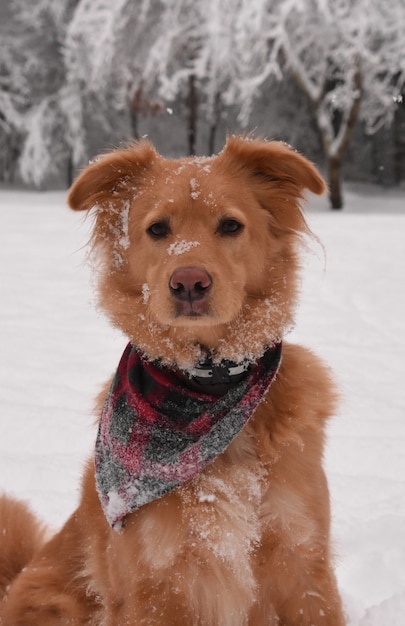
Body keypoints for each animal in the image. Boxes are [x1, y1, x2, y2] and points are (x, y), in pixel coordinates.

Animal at [0, 138, 344, 624]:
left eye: (231, 225)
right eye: (158, 229)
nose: (189, 282)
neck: (207, 388)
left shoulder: (303, 564)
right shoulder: (155, 583)